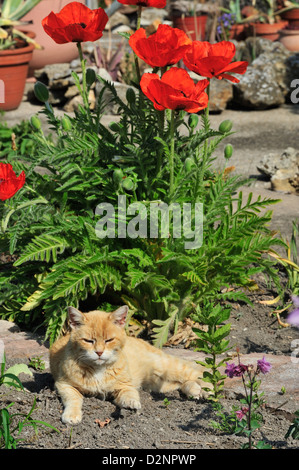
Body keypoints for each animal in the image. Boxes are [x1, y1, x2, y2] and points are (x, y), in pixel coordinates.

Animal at [49, 304, 209, 426]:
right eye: (88, 341)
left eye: (109, 340)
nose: (99, 352)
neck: (98, 369)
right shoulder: (64, 385)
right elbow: (74, 399)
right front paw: (72, 414)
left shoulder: (125, 386)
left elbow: (129, 394)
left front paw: (131, 403)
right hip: (158, 383)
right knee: (182, 383)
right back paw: (195, 391)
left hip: (168, 367)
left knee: (199, 373)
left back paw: (207, 391)